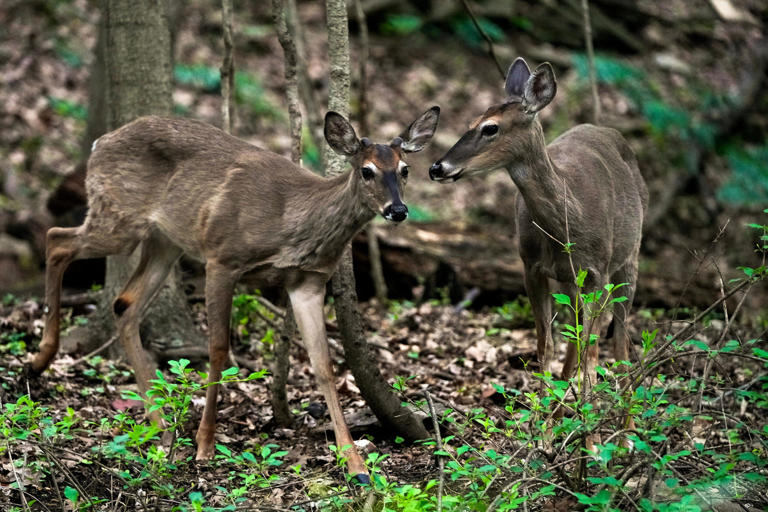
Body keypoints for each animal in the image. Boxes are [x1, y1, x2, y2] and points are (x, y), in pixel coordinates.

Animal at [29, 107, 440, 483]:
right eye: (366, 170)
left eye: (404, 169)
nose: (398, 210)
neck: (294, 223)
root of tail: (100, 142)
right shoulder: (222, 258)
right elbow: (218, 350)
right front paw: (205, 445)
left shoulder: (306, 282)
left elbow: (324, 366)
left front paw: (356, 466)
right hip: (120, 217)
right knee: (56, 239)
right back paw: (40, 359)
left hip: (164, 241)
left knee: (123, 303)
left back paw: (160, 427)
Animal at [429, 57, 647, 448]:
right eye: (471, 122)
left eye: (490, 128)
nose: (437, 167)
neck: (567, 224)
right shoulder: (531, 267)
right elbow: (546, 347)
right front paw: (545, 437)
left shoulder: (598, 270)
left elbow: (592, 353)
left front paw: (592, 445)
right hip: (572, 283)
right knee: (576, 338)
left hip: (629, 258)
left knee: (620, 341)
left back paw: (625, 436)